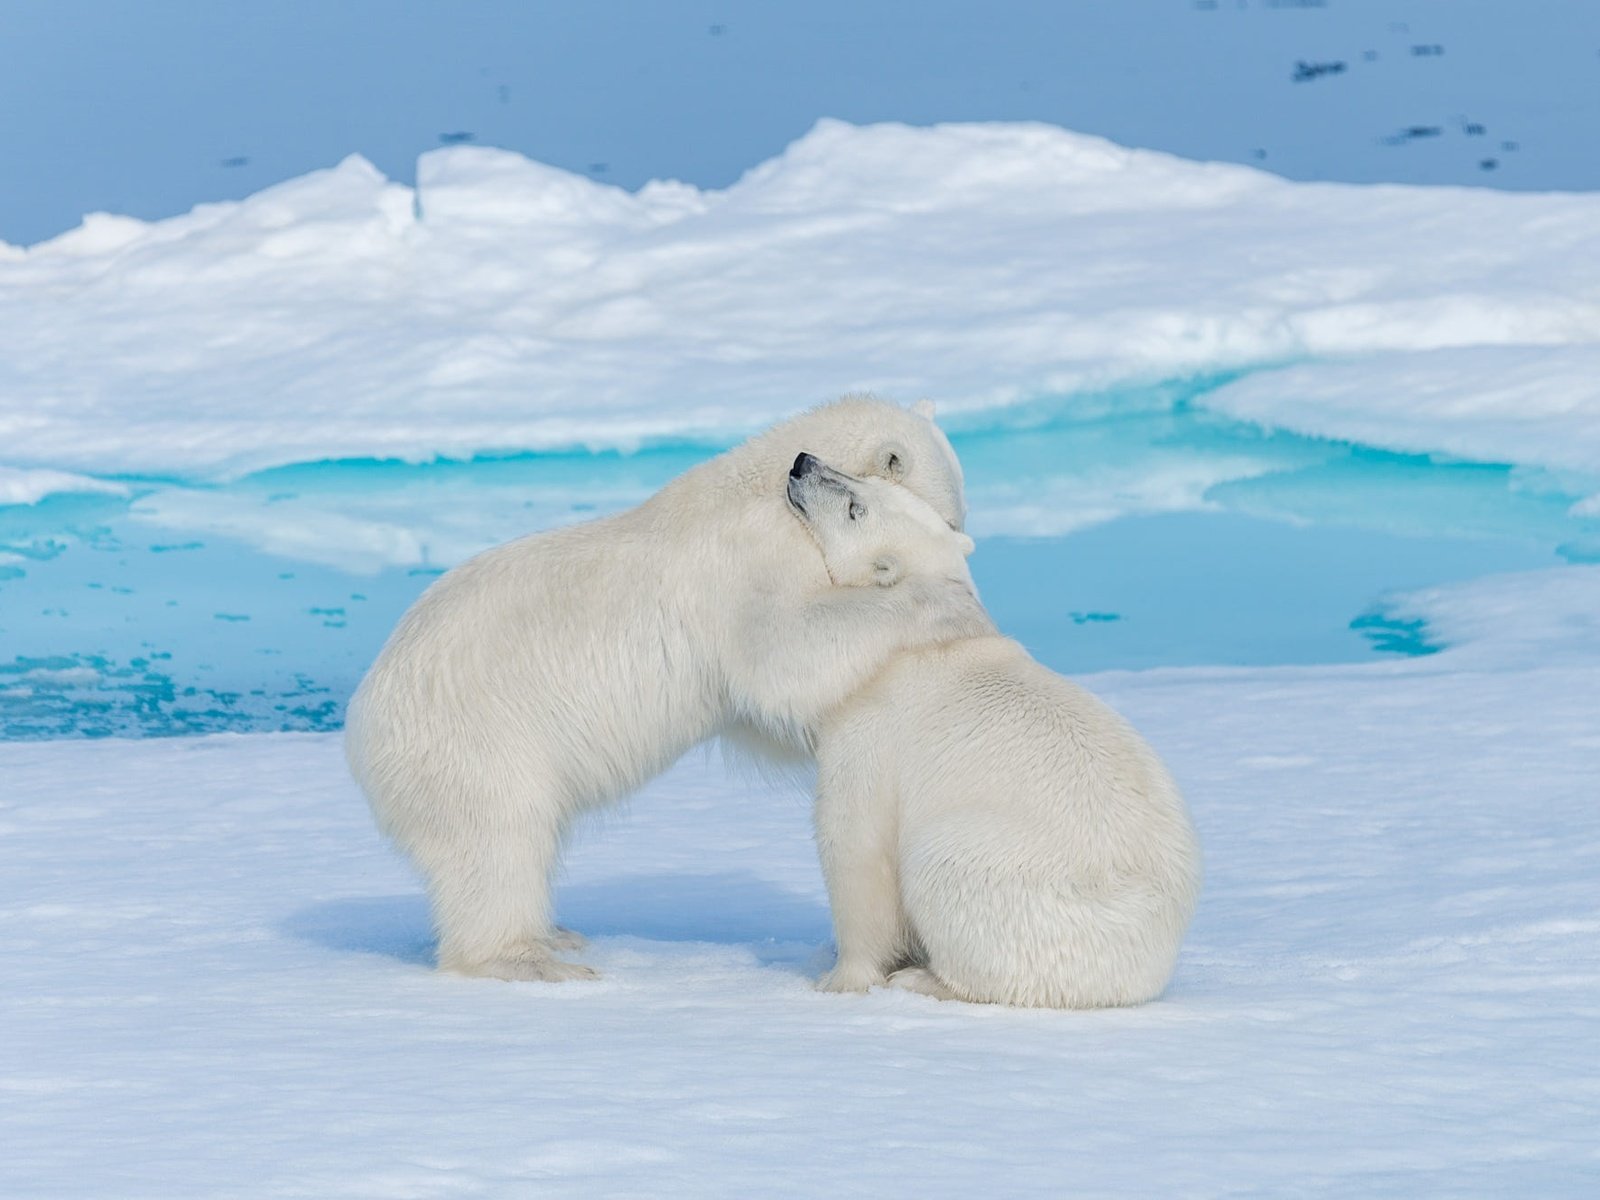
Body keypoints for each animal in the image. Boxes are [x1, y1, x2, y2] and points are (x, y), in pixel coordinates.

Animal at [347, 400, 985, 979]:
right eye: (953, 517)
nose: (964, 542)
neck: (769, 489)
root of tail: (360, 728)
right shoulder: (755, 560)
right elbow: (782, 653)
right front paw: (946, 603)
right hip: (475, 742)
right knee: (499, 840)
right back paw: (526, 958)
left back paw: (557, 934)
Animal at [787, 454, 1203, 1011]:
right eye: (867, 481)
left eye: (856, 508)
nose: (801, 463)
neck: (919, 638)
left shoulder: (874, 726)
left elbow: (857, 845)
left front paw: (838, 978)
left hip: (1004, 869)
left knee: (942, 871)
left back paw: (923, 979)